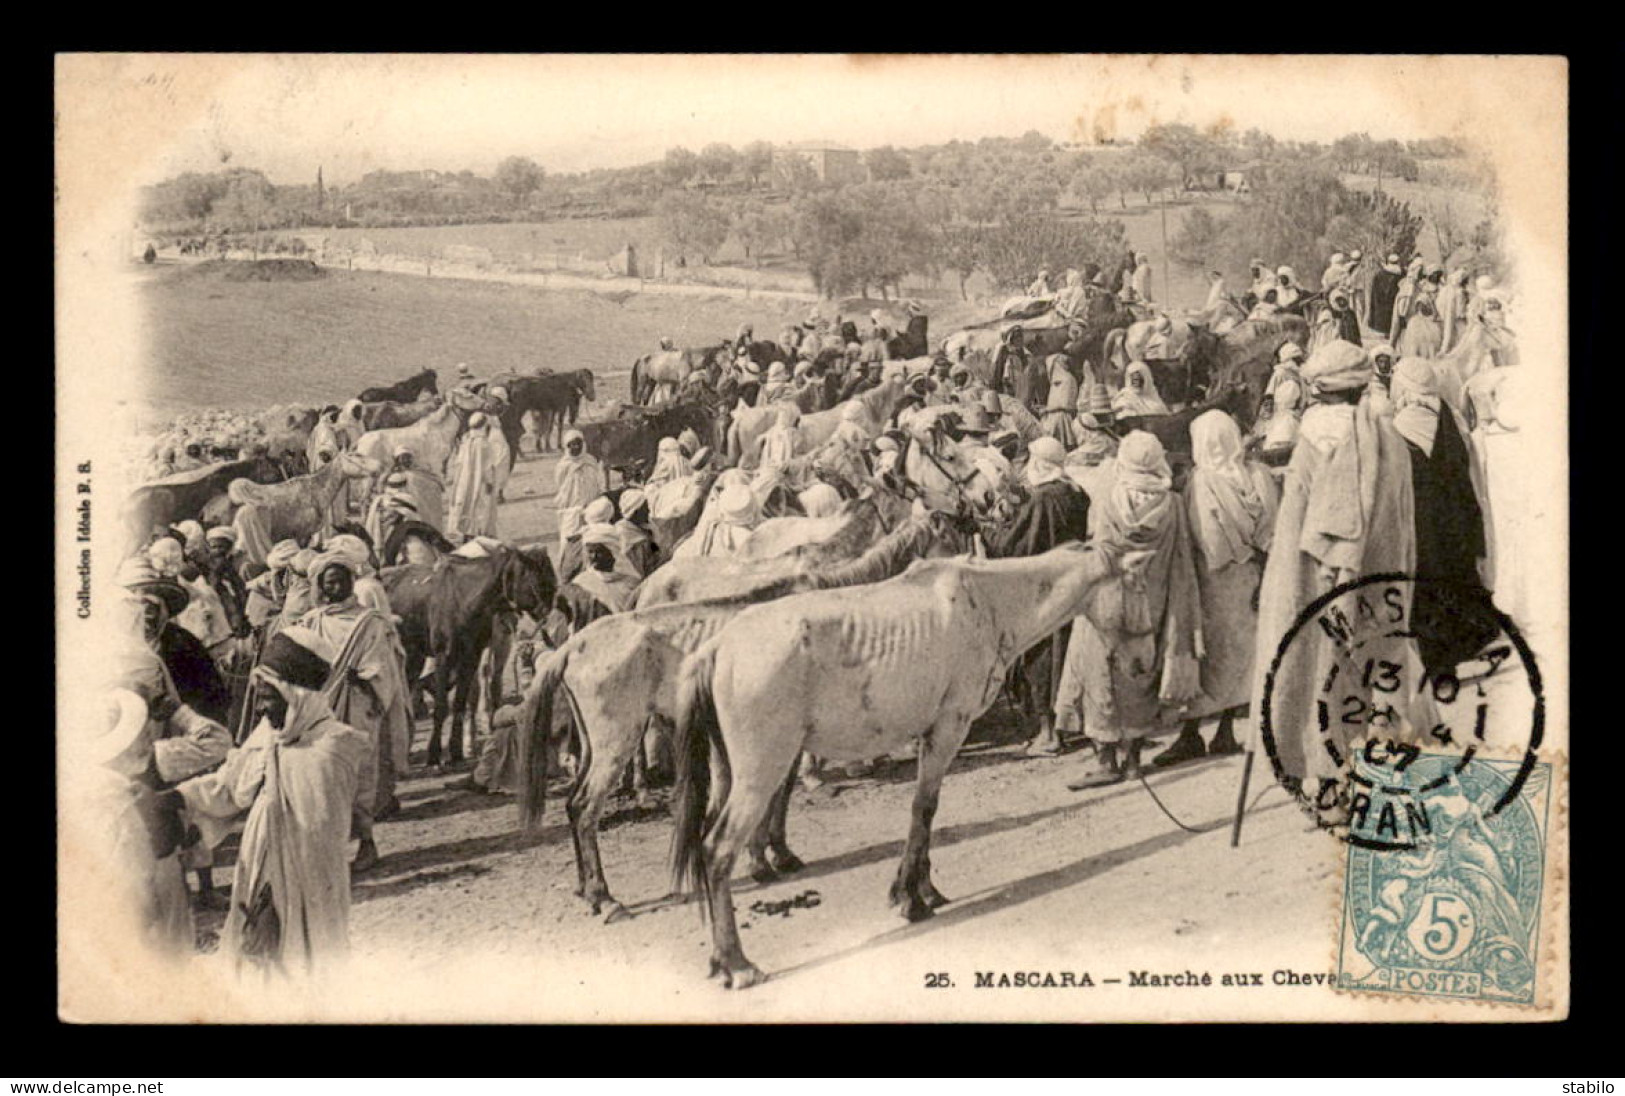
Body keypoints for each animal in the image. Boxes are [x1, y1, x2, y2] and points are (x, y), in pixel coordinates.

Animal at [380, 539, 559, 764]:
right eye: (537, 579)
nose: (550, 613)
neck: (463, 597)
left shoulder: (471, 657)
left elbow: (459, 703)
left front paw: (456, 751)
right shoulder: (444, 656)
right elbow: (441, 706)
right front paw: (434, 754)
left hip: (414, 655)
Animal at [520, 507, 975, 917]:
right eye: (953, 538)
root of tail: (570, 647)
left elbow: (778, 796)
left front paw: (771, 855)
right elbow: (780, 795)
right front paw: (770, 857)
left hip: (594, 743)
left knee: (573, 804)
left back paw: (586, 890)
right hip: (617, 741)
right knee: (584, 808)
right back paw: (606, 898)